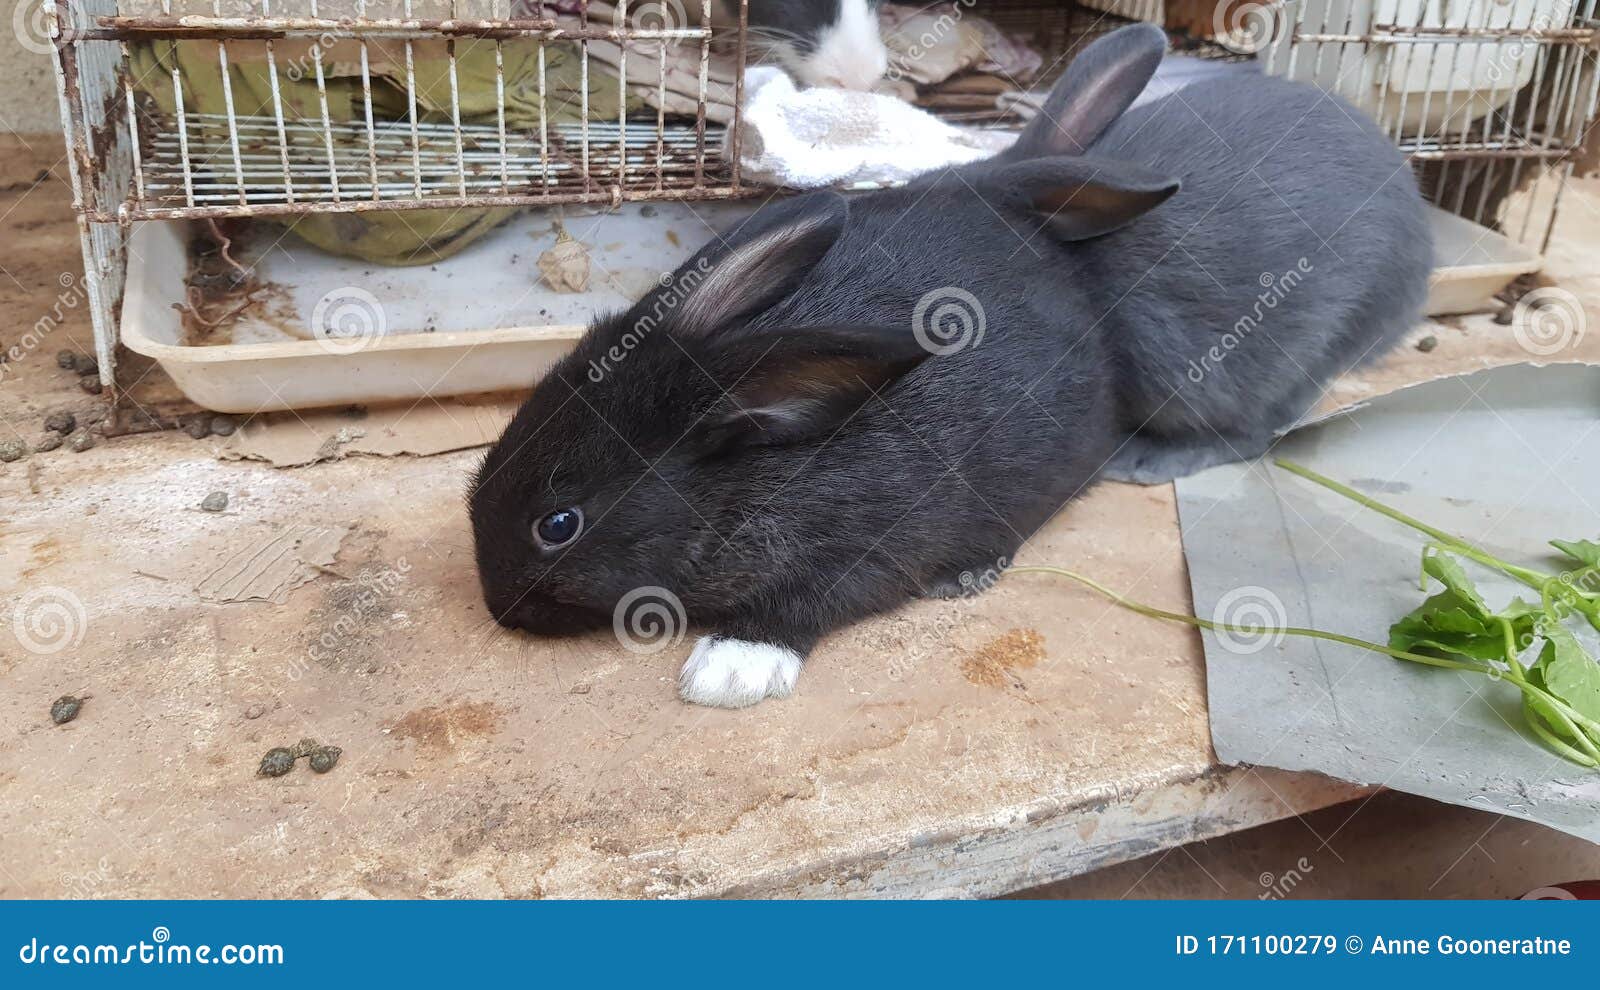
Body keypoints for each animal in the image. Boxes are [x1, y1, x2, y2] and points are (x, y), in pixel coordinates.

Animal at [467, 23, 1433, 703]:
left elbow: (804, 605)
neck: (754, 463)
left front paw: (729, 670)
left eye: (559, 524)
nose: (495, 608)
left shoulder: (866, 547)